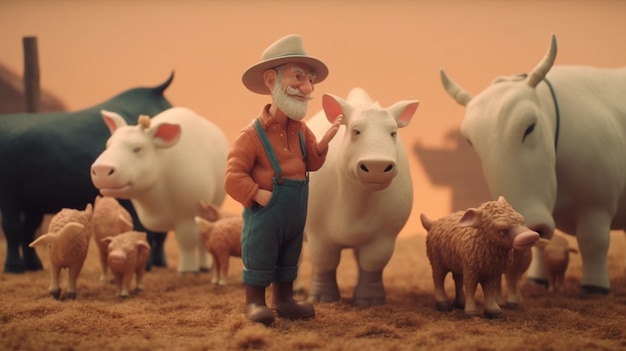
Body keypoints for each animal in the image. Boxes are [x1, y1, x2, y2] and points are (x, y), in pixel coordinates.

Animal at [0, 73, 173, 272]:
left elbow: (159, 232)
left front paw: (157, 263)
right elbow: (143, 229)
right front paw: (146, 264)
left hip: (32, 199)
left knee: (28, 228)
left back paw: (33, 265)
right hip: (9, 195)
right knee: (12, 227)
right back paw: (14, 266)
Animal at [91, 107, 228, 276]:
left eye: (138, 148)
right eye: (108, 145)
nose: (101, 169)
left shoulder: (188, 214)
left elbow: (187, 241)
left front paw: (187, 270)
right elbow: (148, 238)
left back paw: (204, 267)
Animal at [304, 88, 416, 308]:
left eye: (393, 133)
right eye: (355, 131)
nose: (376, 166)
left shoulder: (386, 234)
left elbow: (373, 262)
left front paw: (370, 300)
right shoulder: (316, 231)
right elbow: (324, 261)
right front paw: (321, 298)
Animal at [438, 35, 624, 294]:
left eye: (530, 127)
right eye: (470, 141)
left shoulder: (598, 204)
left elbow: (593, 242)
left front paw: (595, 287)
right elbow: (540, 245)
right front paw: (538, 279)